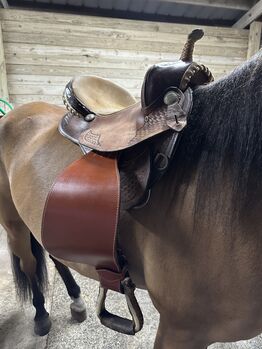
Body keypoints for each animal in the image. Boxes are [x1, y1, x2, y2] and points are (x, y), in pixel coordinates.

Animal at [0, 49, 262, 348]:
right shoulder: (180, 329)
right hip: (13, 223)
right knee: (29, 263)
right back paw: (42, 314)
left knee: (55, 255)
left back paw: (76, 301)